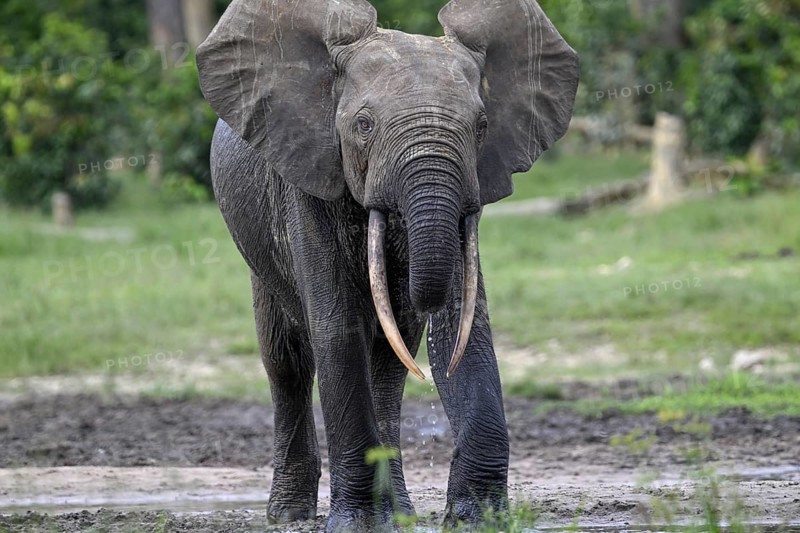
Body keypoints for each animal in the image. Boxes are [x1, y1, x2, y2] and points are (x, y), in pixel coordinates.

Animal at [196, 0, 578, 530]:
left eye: (481, 126)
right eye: (363, 125)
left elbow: (462, 328)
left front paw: (476, 518)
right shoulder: (308, 176)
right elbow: (338, 330)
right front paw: (353, 523)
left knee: (390, 365)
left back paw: (397, 513)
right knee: (286, 359)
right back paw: (290, 514)